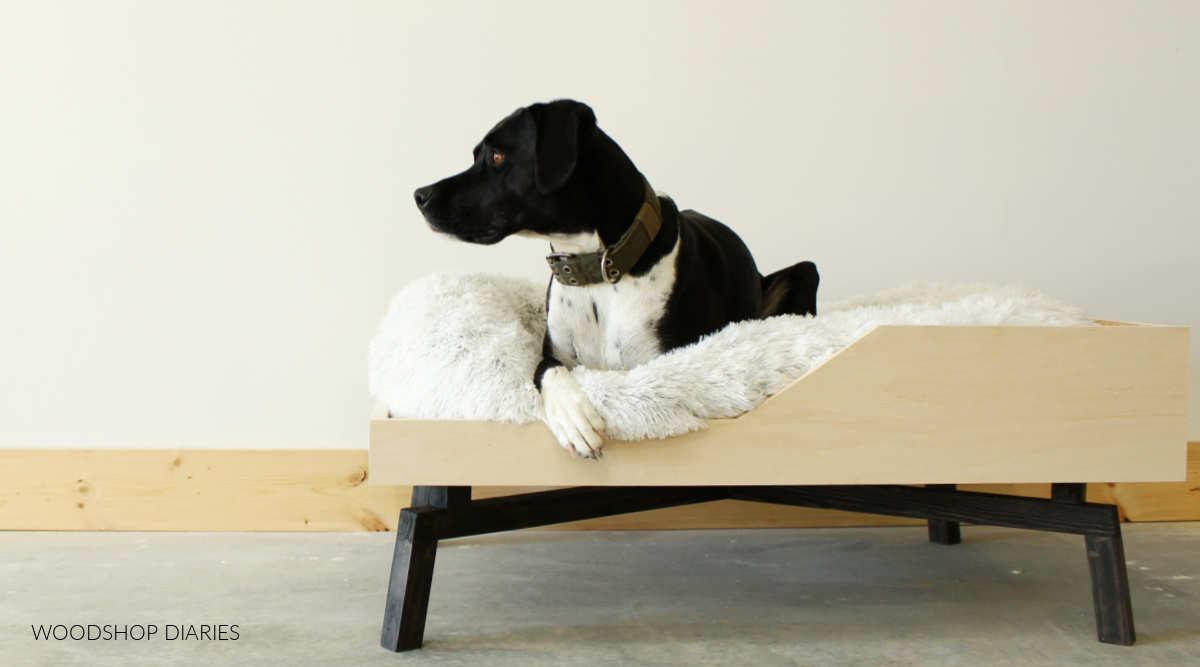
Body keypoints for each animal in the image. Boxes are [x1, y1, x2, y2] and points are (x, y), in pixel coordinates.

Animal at [412, 100, 816, 458]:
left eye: (496, 157)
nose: (420, 194)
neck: (597, 271)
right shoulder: (552, 352)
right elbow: (546, 370)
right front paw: (574, 417)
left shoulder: (668, 362)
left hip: (805, 272)